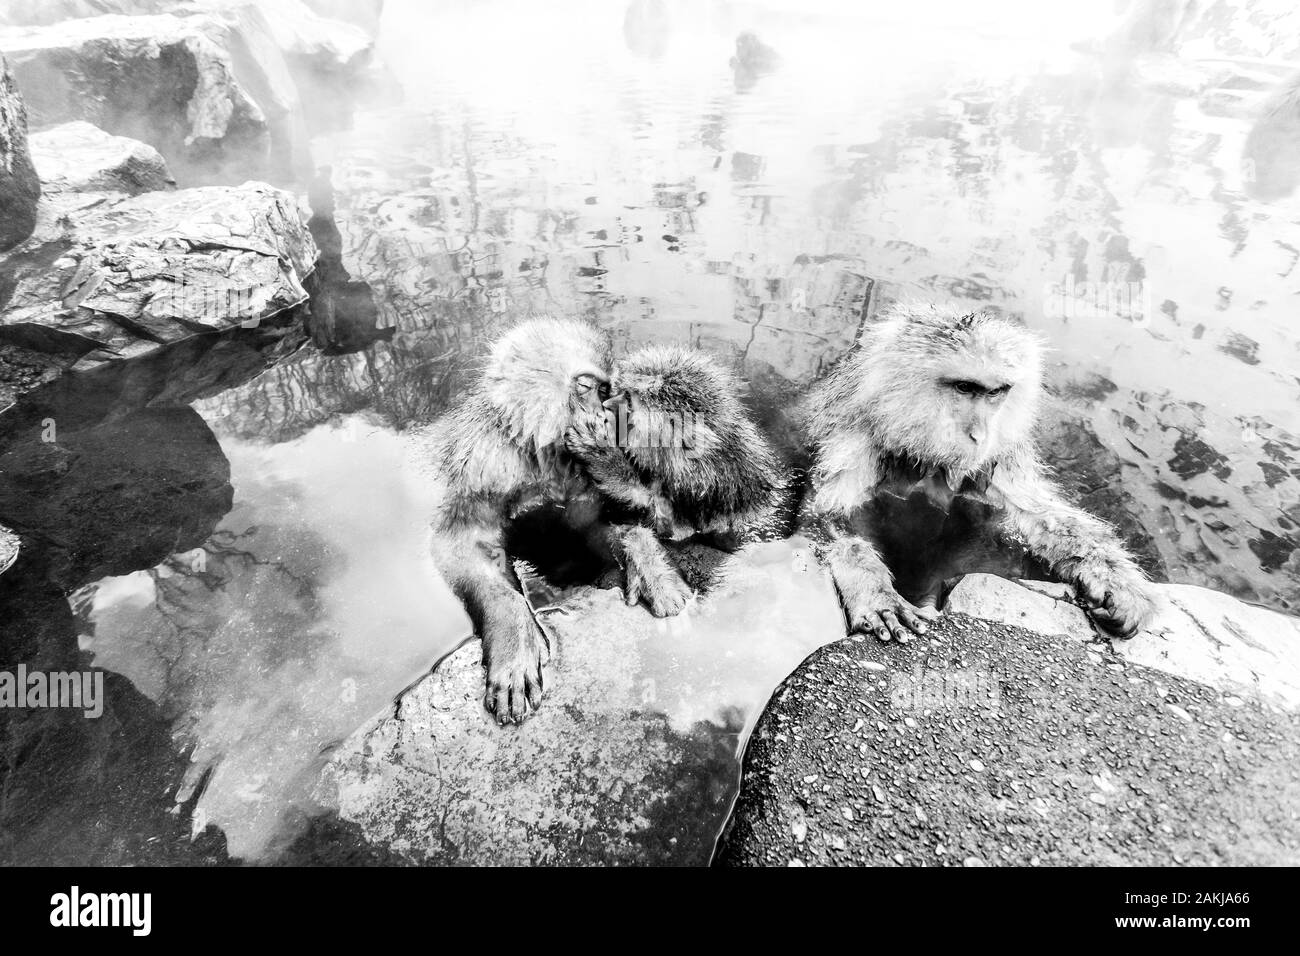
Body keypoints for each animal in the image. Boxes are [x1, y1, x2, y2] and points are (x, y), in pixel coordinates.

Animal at [800, 306, 1159, 647]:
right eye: (965, 387)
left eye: (995, 392)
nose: (979, 435)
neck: (931, 459)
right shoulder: (854, 442)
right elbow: (827, 519)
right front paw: (875, 591)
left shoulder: (997, 459)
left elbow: (1039, 518)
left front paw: (1117, 584)